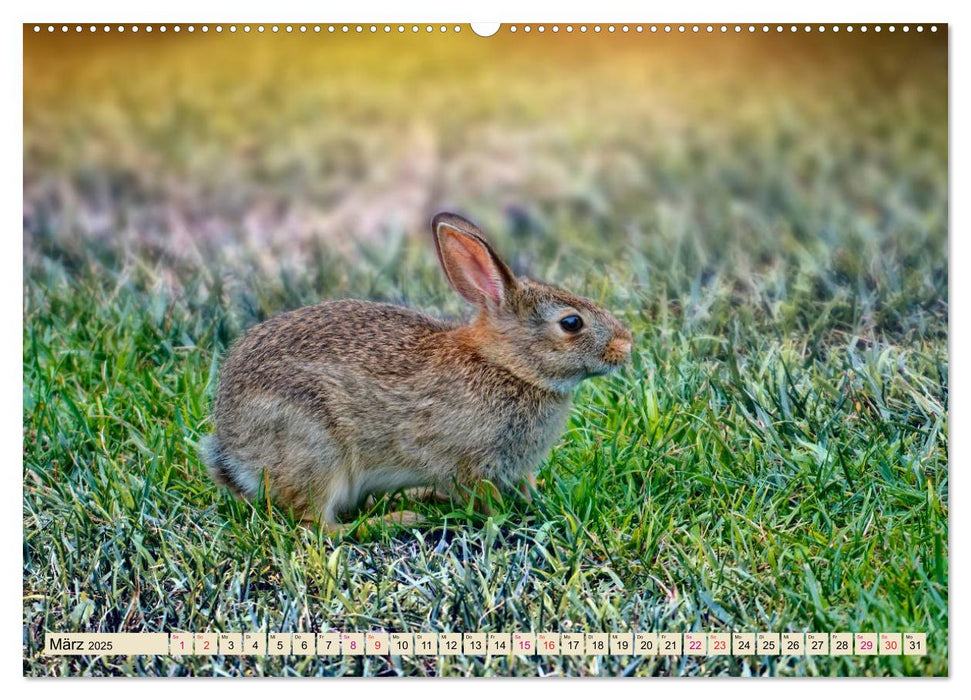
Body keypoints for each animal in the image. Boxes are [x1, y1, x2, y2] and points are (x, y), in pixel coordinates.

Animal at [201, 213, 636, 532]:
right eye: (571, 323)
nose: (626, 345)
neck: (507, 366)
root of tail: (233, 450)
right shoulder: (469, 463)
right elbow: (485, 500)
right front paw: (507, 514)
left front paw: (536, 493)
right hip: (314, 449)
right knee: (316, 524)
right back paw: (397, 519)